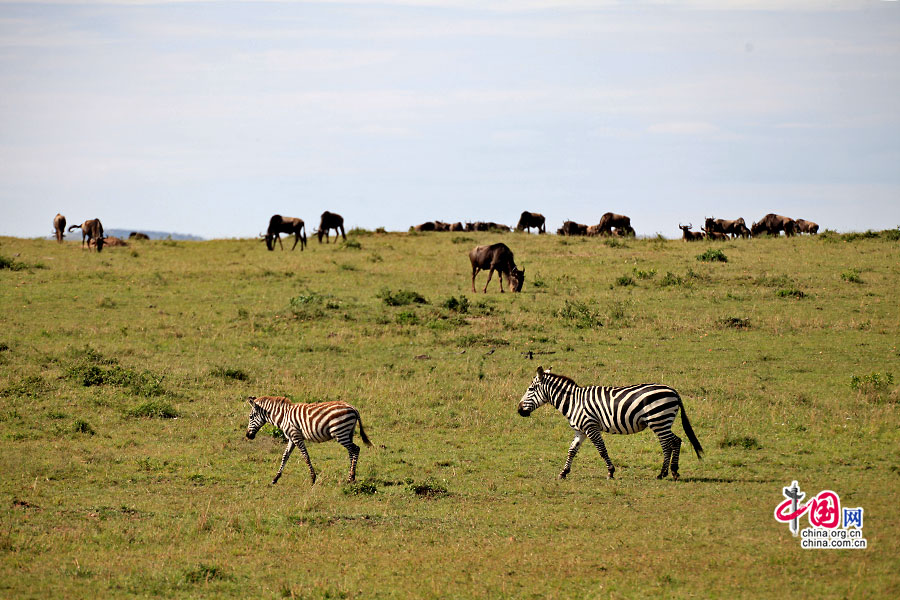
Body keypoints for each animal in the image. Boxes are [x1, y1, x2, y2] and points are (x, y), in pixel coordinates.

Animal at [512, 364, 704, 480]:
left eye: (530, 389)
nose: (519, 410)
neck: (573, 402)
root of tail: (673, 390)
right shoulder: (580, 430)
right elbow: (572, 450)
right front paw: (563, 472)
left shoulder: (591, 426)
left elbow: (601, 449)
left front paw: (610, 472)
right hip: (662, 421)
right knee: (675, 441)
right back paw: (673, 472)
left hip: (658, 420)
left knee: (669, 443)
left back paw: (664, 473)